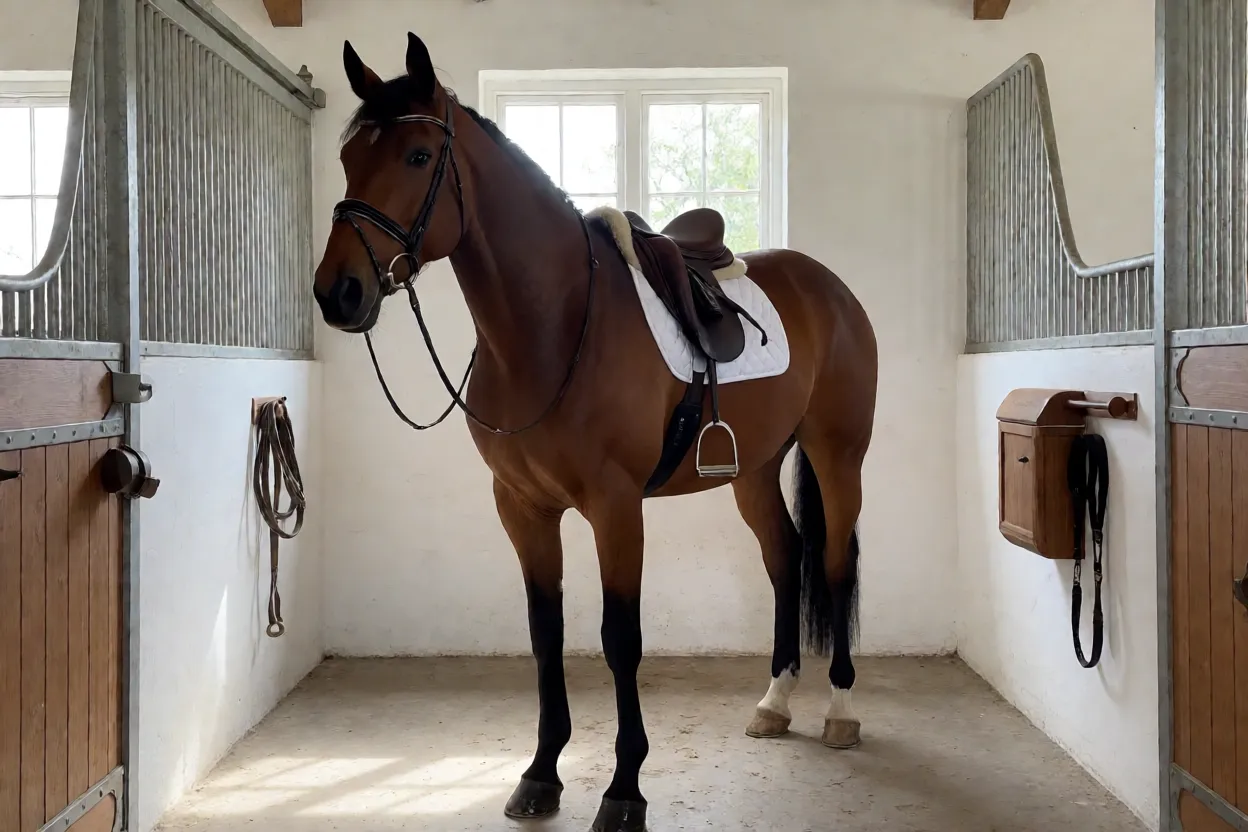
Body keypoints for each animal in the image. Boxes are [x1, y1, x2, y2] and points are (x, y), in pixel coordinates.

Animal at [312, 32, 878, 832]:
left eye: (418, 156)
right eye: (347, 158)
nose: (339, 292)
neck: (552, 326)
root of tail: (830, 288)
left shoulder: (615, 508)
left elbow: (620, 638)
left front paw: (623, 788)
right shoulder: (522, 507)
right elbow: (545, 633)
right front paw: (541, 772)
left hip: (838, 455)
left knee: (830, 564)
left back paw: (839, 710)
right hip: (756, 470)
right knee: (784, 558)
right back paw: (775, 701)